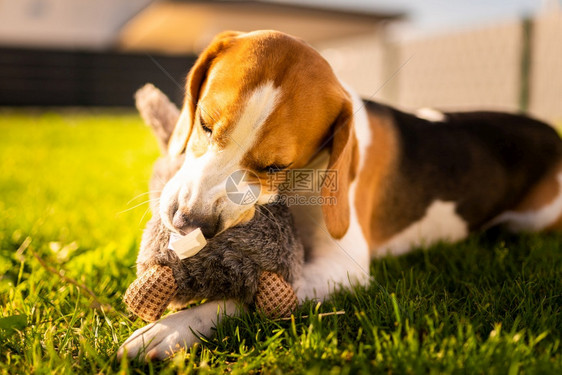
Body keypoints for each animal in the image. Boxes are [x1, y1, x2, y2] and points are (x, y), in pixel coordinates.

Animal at [118, 30, 560, 362]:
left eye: (275, 167)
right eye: (206, 124)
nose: (189, 223)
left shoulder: (342, 268)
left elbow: (250, 295)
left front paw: (172, 329)